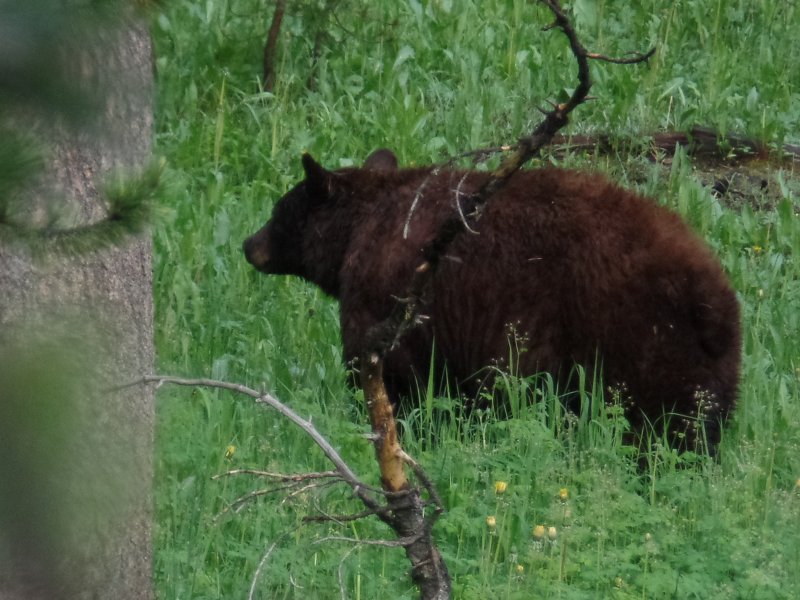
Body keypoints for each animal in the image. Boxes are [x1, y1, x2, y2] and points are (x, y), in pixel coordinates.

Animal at [245, 149, 744, 450]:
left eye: (275, 212)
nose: (248, 244)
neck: (359, 230)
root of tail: (712, 297)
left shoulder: (388, 303)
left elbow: (389, 378)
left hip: (633, 340)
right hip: (708, 368)